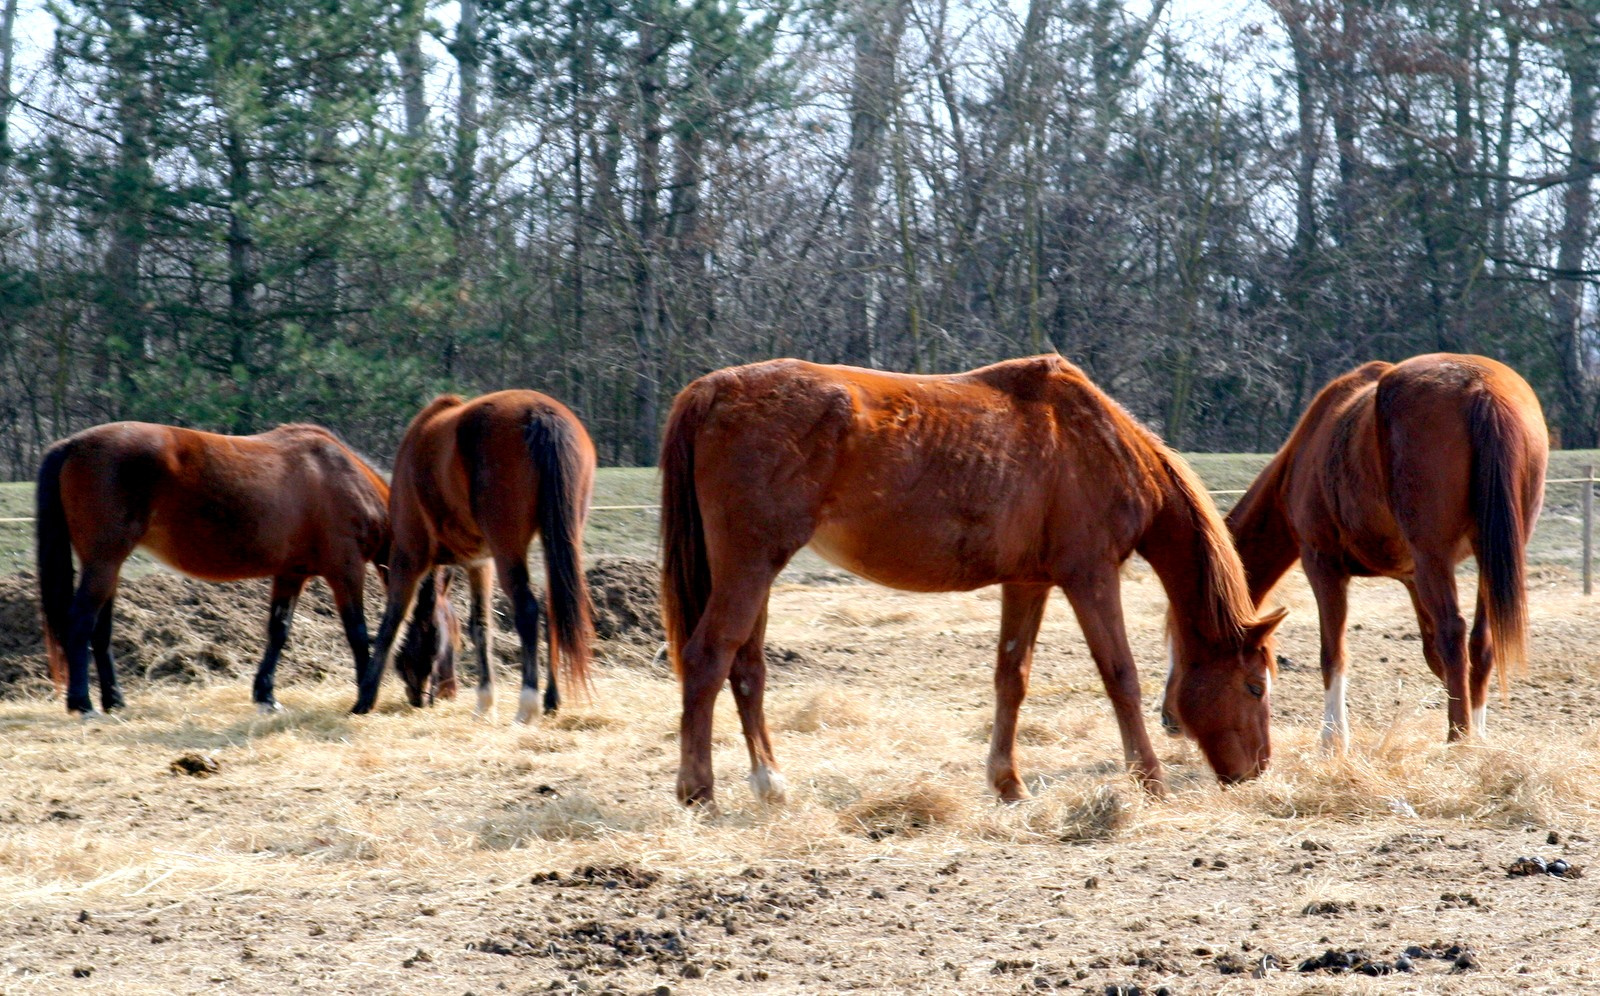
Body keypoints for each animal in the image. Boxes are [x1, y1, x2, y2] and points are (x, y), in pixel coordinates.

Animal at [37, 422, 419, 717]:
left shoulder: (291, 574)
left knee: (100, 630)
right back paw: (83, 704)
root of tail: (71, 445)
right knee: (80, 622)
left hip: (107, 566)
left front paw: (266, 696)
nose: (423, 698)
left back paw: (114, 701)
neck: (341, 476)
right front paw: (364, 696)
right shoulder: (346, 571)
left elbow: (278, 631)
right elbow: (358, 632)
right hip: (104, 562)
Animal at [355, 390, 595, 726]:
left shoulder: (409, 557)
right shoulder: (480, 563)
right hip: (558, 541)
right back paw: (551, 700)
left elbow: (393, 620)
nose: (424, 696)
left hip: (508, 548)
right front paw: (485, 701)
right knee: (554, 609)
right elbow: (480, 625)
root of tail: (540, 413)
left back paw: (527, 705)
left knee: (528, 609)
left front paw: (365, 696)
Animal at [659, 355, 1286, 807]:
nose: (1256, 771)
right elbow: (1121, 676)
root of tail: (713, 390)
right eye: (1255, 687)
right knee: (710, 657)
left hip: (755, 571)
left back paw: (769, 783)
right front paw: (1149, 779)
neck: (1096, 443)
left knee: (747, 668)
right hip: (749, 565)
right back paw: (698, 791)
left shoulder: (1028, 583)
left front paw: (1008, 784)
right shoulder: (1091, 576)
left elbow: (1012, 678)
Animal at [1184, 355, 1542, 752]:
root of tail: (1481, 388)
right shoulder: (1412, 578)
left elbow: (1333, 654)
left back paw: (1457, 740)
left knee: (1454, 634)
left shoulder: (1322, 564)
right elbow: (1434, 655)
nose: (1171, 720)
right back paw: (1474, 736)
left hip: (1434, 559)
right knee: (1480, 641)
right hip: (1486, 560)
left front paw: (1332, 740)